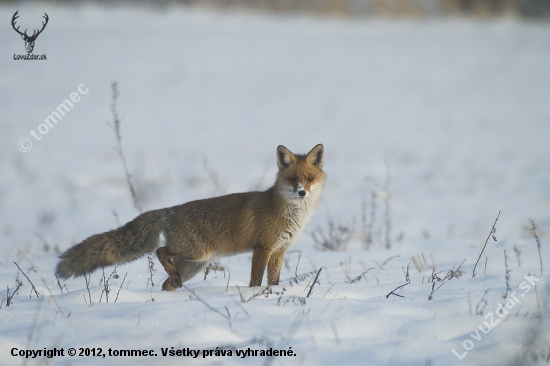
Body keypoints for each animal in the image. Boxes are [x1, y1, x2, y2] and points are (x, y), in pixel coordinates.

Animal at [55, 144, 328, 290]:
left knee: (166, 281)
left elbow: (274, 281)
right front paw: (255, 296)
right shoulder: (262, 248)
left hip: (194, 264)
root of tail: (170, 209)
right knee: (160, 251)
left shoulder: (279, 250)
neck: (290, 214)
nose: (302, 192)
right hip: (196, 253)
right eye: (292, 179)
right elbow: (256, 280)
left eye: (309, 178)